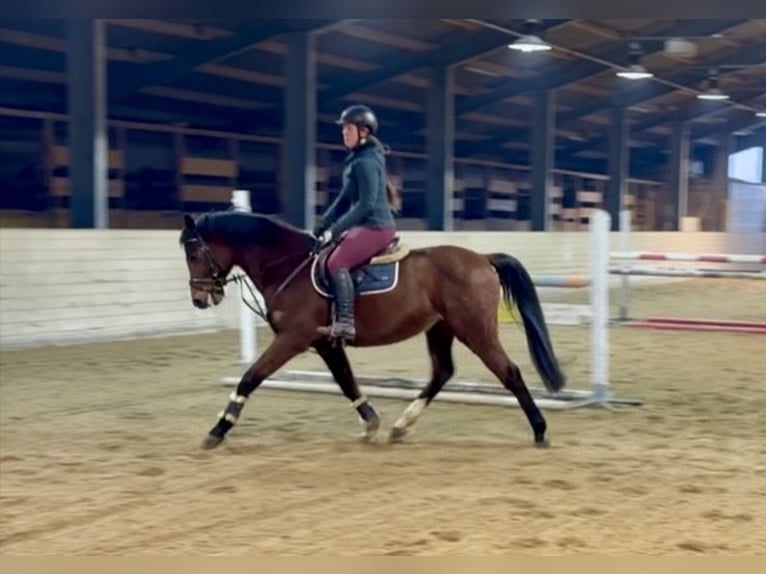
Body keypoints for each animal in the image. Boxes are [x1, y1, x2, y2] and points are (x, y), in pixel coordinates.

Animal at [178, 210, 566, 450]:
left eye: (194, 254)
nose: (200, 298)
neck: (290, 267)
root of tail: (483, 259)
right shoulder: (326, 343)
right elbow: (346, 381)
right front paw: (371, 423)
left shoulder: (293, 338)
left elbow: (251, 377)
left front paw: (219, 428)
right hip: (441, 329)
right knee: (443, 371)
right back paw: (402, 425)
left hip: (475, 330)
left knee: (509, 372)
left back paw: (540, 430)